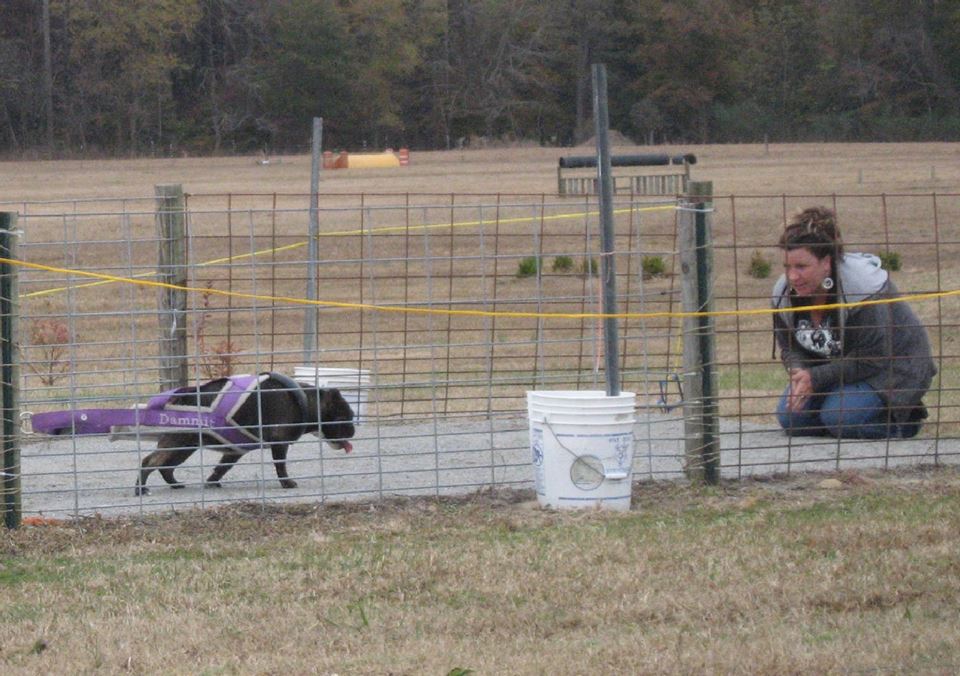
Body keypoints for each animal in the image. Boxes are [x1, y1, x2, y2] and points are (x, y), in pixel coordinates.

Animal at [133, 374, 354, 496]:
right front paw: (287, 483)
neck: (307, 400)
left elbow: (222, 468)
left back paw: (175, 485)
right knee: (149, 462)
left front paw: (212, 482)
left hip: (184, 447)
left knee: (165, 467)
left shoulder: (234, 451)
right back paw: (141, 489)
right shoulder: (279, 444)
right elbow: (281, 466)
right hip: (177, 443)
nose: (353, 429)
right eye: (343, 417)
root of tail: (180, 396)